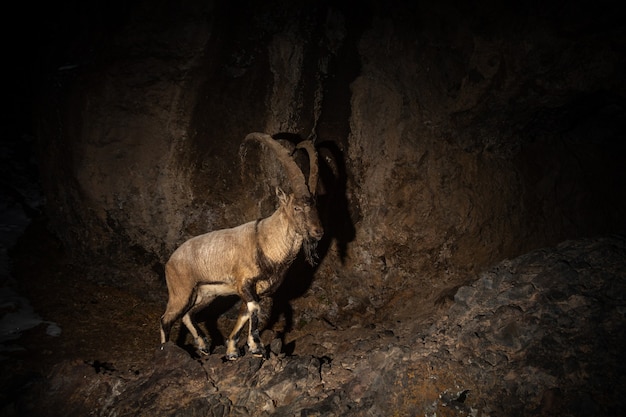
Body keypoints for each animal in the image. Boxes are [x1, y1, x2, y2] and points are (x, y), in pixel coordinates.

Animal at [160, 132, 322, 358]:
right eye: (297, 207)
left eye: (316, 206)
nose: (318, 232)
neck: (265, 241)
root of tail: (170, 261)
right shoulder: (244, 283)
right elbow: (253, 309)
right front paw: (256, 347)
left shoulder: (255, 290)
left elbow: (244, 313)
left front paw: (232, 350)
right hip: (180, 291)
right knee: (166, 318)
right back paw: (164, 350)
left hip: (205, 294)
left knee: (187, 314)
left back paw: (203, 345)